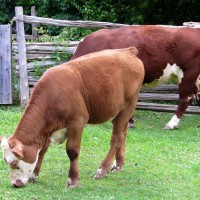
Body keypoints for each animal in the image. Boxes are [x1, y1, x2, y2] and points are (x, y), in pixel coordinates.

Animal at [0, 47, 144, 188]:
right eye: (5, 161)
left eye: (14, 163)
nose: (15, 184)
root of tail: (128, 50)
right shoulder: (48, 129)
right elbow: (42, 150)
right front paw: (34, 175)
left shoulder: (77, 122)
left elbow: (72, 151)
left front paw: (72, 180)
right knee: (123, 133)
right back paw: (118, 164)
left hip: (128, 106)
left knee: (116, 137)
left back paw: (102, 170)